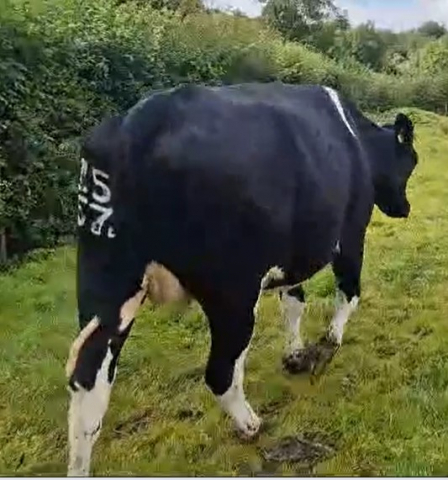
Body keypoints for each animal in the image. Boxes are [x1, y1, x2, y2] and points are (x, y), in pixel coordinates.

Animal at [65, 83, 416, 476]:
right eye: (411, 161)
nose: (405, 209)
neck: (358, 140)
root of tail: (135, 127)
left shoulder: (293, 254)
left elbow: (294, 303)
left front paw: (295, 354)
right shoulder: (351, 235)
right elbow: (348, 291)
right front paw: (332, 338)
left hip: (106, 281)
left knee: (87, 381)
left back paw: (78, 466)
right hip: (232, 292)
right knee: (220, 370)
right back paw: (251, 424)